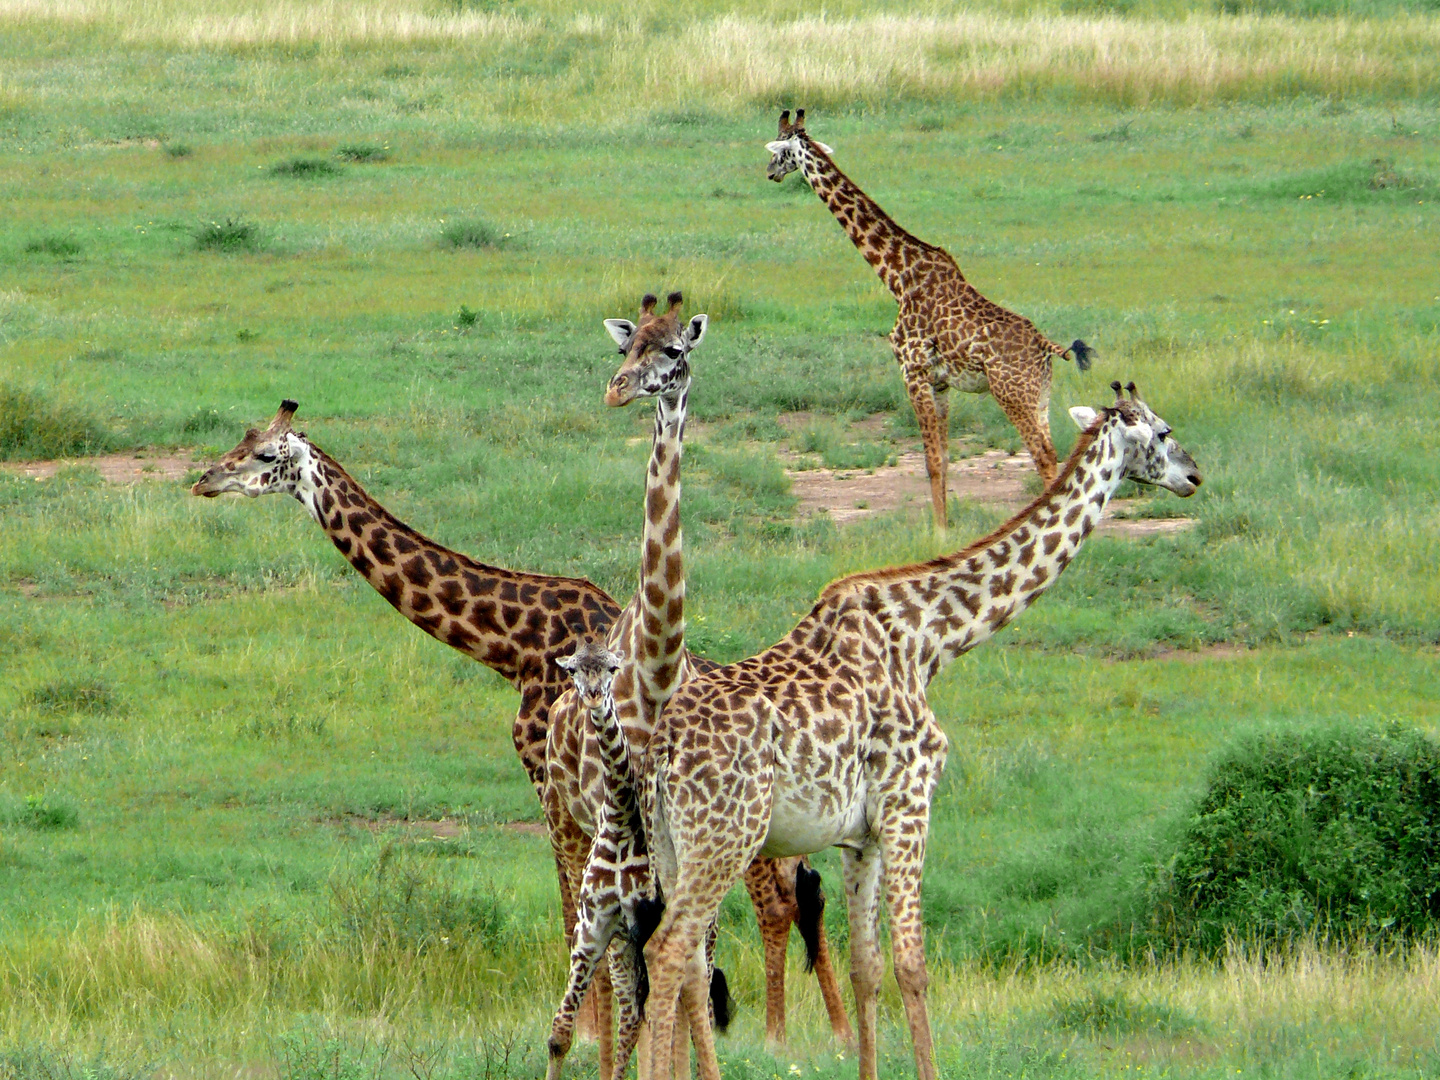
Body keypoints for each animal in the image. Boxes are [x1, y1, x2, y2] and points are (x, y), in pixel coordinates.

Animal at [642, 383, 1203, 1080]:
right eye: (1163, 432)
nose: (1194, 475)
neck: (931, 640)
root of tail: (659, 753)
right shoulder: (911, 804)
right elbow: (912, 964)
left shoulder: (860, 836)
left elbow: (867, 967)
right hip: (724, 839)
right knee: (668, 952)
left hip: (672, 846)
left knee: (684, 961)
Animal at [766, 110, 1088, 532]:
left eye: (778, 150)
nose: (770, 172)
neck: (898, 277)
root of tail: (1047, 348)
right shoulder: (941, 383)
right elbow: (946, 460)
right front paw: (945, 526)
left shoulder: (912, 371)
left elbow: (930, 461)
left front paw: (937, 533)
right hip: (1041, 397)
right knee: (1055, 455)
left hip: (1012, 394)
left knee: (1045, 458)